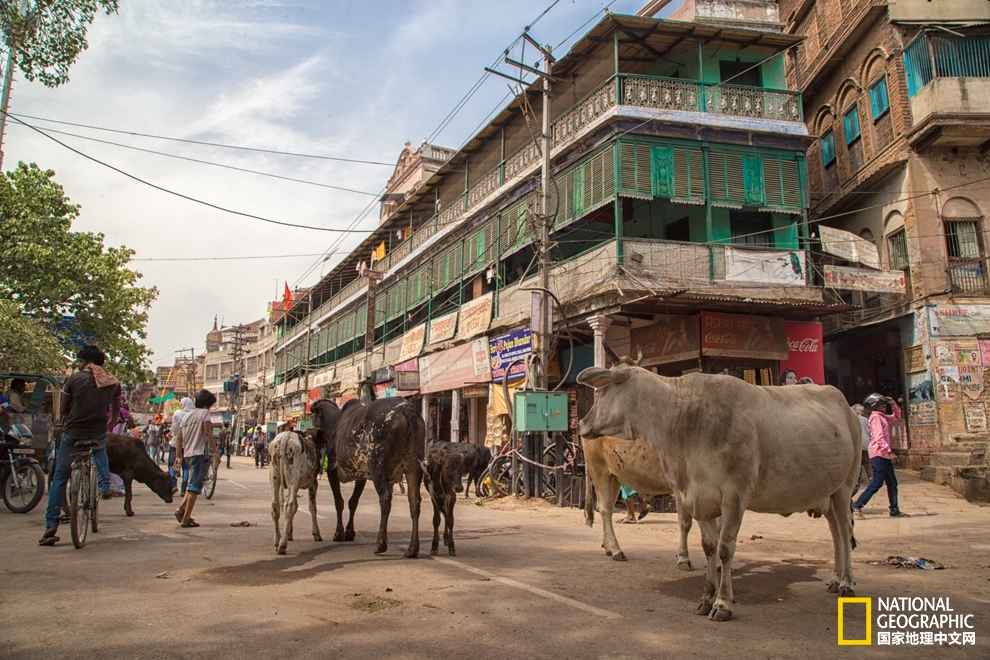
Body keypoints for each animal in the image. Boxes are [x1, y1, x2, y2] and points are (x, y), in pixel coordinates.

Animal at [314, 398, 426, 556]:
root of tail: (406, 407)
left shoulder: (332, 470)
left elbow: (339, 502)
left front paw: (339, 532)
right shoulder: (361, 476)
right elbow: (353, 502)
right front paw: (350, 531)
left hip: (378, 467)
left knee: (385, 499)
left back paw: (380, 543)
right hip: (413, 468)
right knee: (414, 501)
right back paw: (412, 548)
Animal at [584, 436, 692, 568]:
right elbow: (685, 523)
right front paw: (684, 558)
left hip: (614, 476)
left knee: (606, 507)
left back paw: (608, 547)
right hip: (600, 470)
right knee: (605, 510)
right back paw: (616, 550)